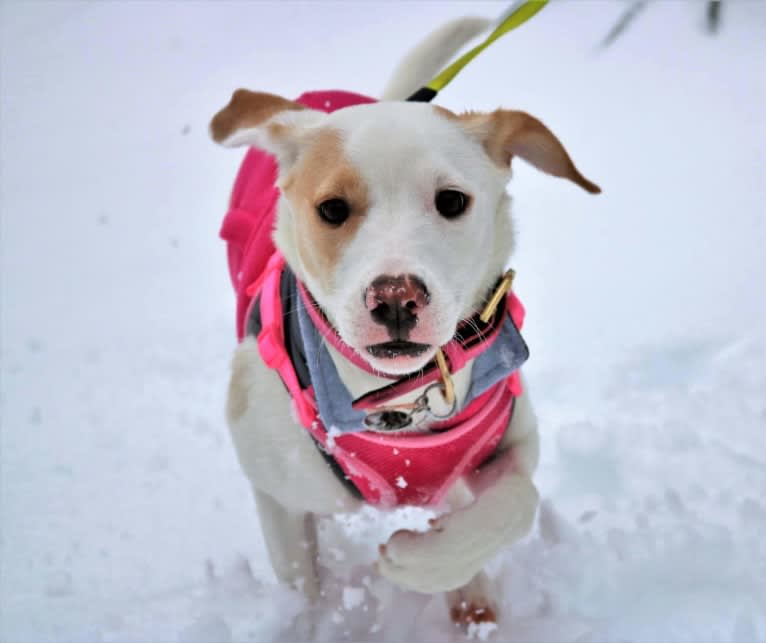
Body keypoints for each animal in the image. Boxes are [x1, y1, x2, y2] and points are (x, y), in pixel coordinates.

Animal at [210, 15, 600, 632]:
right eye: (332, 209)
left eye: (452, 200)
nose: (395, 298)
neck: (401, 397)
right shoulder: (276, 491)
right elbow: (301, 586)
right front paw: (312, 622)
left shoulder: (509, 441)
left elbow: (518, 502)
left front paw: (422, 562)